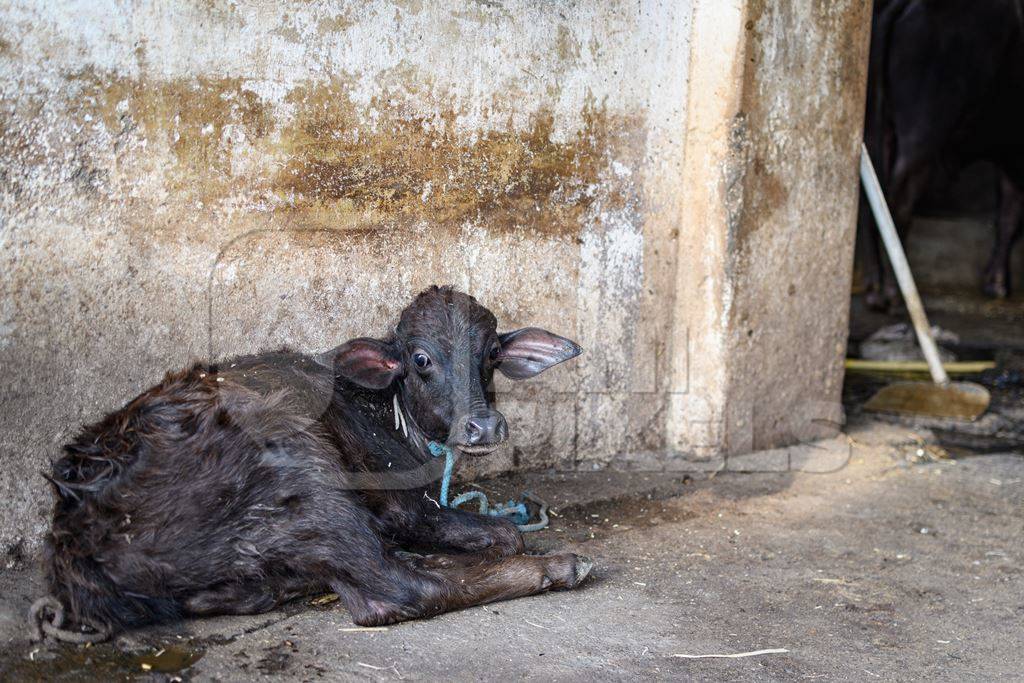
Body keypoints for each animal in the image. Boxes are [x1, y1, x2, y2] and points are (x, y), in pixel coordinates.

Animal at [34, 286, 593, 643]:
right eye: (420, 359)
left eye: (493, 352)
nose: (483, 426)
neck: (387, 412)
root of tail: (74, 530)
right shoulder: (401, 506)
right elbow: (508, 534)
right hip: (308, 475)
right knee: (396, 590)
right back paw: (560, 566)